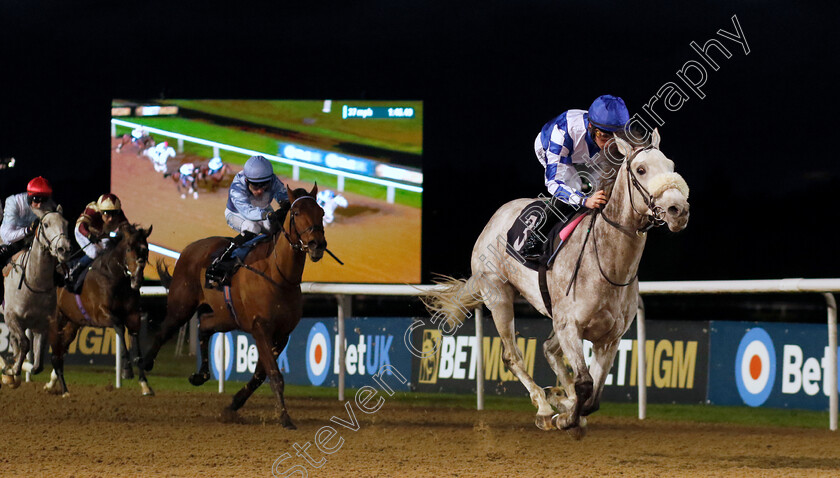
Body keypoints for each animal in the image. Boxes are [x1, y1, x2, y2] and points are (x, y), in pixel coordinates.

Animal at [0, 208, 72, 388]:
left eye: (66, 223)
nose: (64, 249)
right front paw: (11, 369)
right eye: (45, 224)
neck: (34, 283)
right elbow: (25, 344)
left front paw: (14, 370)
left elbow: (38, 365)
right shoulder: (11, 317)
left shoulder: (42, 325)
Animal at [46, 223, 154, 396]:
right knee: (56, 355)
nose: (137, 278)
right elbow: (119, 326)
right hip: (56, 321)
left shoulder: (133, 316)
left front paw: (144, 384)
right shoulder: (100, 314)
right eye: (129, 248)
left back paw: (55, 384)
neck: (115, 277)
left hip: (72, 324)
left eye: (146, 249)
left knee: (60, 352)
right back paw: (64, 390)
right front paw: (126, 370)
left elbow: (137, 348)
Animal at [144, 184, 328, 430]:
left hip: (226, 317)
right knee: (164, 331)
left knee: (204, 325)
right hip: (181, 306)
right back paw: (144, 363)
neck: (278, 275)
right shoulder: (261, 328)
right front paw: (285, 418)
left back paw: (200, 375)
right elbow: (274, 374)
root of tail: (191, 248)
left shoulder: (282, 334)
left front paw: (234, 404)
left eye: (321, 212)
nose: (317, 244)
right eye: (297, 213)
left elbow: (260, 374)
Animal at [420, 129, 688, 438]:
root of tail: (497, 216)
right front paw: (563, 417)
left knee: (548, 349)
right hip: (498, 295)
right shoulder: (569, 325)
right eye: (641, 169)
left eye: (671, 165)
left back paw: (558, 398)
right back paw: (544, 408)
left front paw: (569, 406)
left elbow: (593, 396)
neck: (609, 264)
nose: (678, 209)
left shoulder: (609, 338)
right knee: (512, 356)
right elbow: (584, 383)